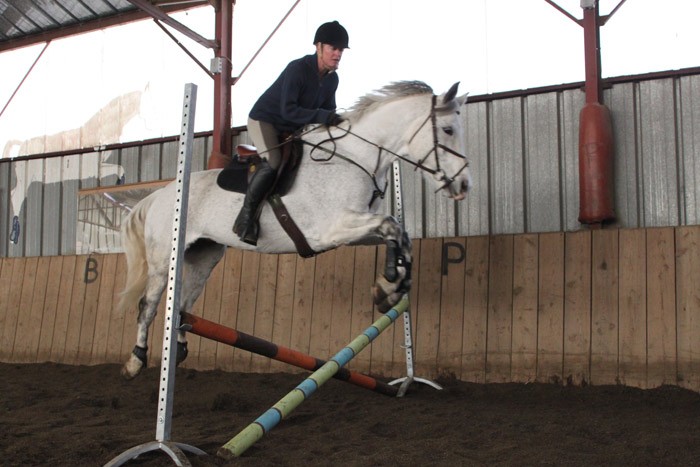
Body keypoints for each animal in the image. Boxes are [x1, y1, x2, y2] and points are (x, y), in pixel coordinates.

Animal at [120, 81, 470, 380]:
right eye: (448, 130)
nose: (464, 185)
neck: (356, 158)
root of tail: (160, 195)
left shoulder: (353, 229)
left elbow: (399, 234)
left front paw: (390, 287)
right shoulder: (333, 228)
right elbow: (391, 226)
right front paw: (389, 286)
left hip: (203, 256)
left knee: (182, 305)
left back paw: (178, 350)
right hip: (164, 258)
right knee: (149, 304)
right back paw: (135, 361)